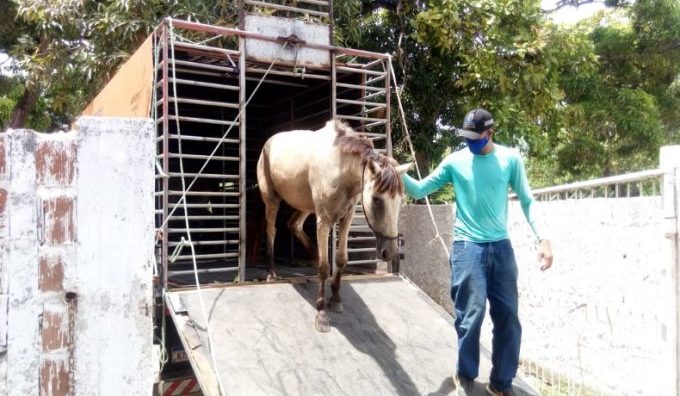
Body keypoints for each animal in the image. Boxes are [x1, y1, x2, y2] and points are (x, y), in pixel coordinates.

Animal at [258, 120, 412, 332]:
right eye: (376, 199)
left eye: (400, 200)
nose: (390, 252)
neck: (341, 167)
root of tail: (270, 141)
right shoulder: (323, 219)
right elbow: (324, 267)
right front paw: (322, 313)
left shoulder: (346, 217)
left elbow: (341, 259)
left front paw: (336, 299)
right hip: (271, 199)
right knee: (271, 230)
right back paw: (271, 271)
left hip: (305, 204)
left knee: (294, 224)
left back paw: (312, 254)